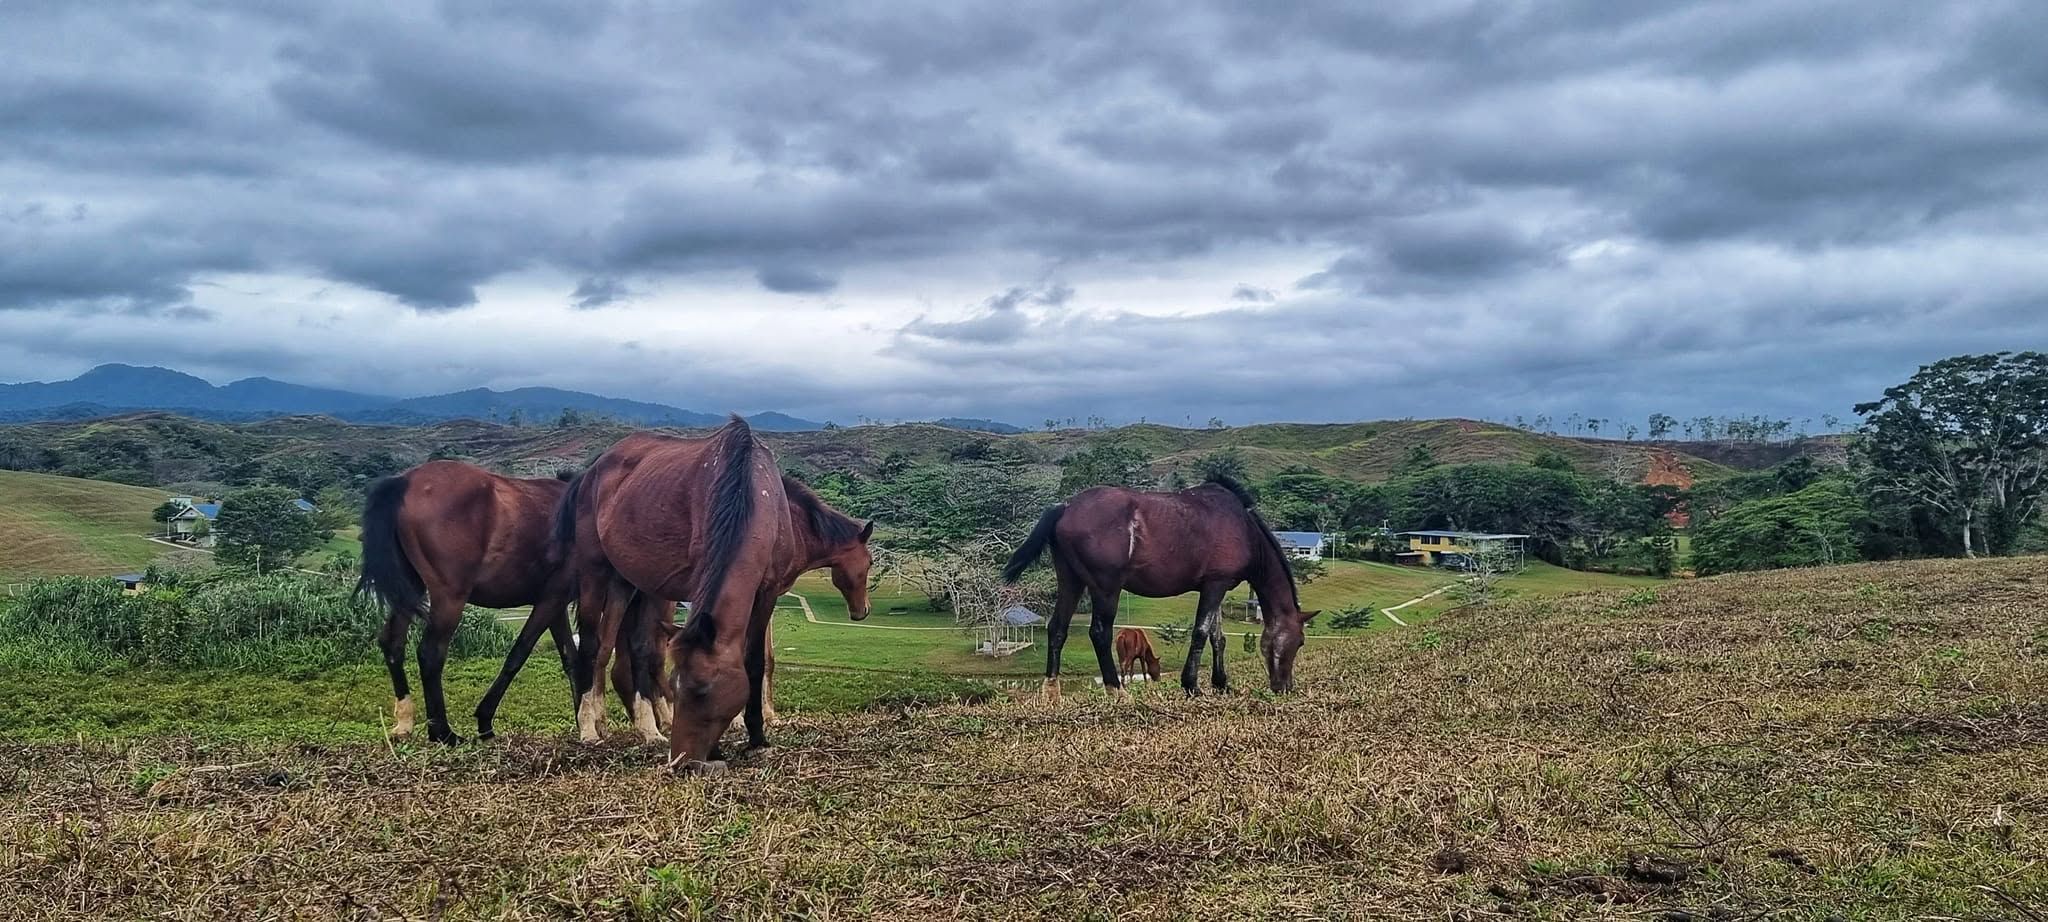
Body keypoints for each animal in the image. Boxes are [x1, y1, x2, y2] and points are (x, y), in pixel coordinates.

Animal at [356, 461, 582, 745]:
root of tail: (403, 482)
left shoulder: (555, 603)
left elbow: (571, 659)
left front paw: (586, 723)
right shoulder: (552, 599)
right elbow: (518, 655)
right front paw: (484, 721)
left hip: (409, 589)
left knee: (392, 642)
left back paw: (404, 722)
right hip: (449, 598)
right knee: (430, 653)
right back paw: (442, 732)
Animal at [475, 472, 874, 741]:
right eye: (870, 562)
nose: (862, 612)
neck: (786, 523)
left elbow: (761, 658)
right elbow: (752, 658)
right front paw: (747, 719)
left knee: (607, 654)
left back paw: (620, 721)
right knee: (624, 656)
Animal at [556, 417, 800, 770]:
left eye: (702, 690)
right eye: (675, 686)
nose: (682, 760)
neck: (750, 489)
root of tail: (592, 470)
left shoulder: (768, 590)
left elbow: (754, 661)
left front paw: (757, 738)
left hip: (628, 582)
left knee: (619, 647)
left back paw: (639, 728)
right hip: (595, 573)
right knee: (590, 646)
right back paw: (589, 728)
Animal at [1002, 474, 1318, 700]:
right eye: (1300, 642)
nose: (1285, 687)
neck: (1243, 527)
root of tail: (1066, 506)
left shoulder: (1216, 586)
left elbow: (1218, 638)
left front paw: (1221, 684)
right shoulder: (1215, 585)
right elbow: (1201, 633)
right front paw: (1191, 685)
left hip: (1071, 581)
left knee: (1057, 628)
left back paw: (1051, 692)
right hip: (1106, 588)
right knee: (1100, 633)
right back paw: (1117, 690)